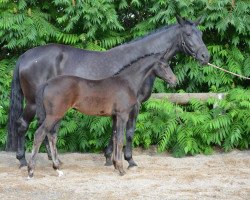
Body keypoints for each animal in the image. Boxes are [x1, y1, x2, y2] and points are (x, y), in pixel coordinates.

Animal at [27, 54, 176, 178]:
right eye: (165, 65)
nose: (174, 80)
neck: (127, 82)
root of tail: (47, 83)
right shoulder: (122, 115)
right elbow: (120, 139)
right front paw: (121, 169)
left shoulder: (115, 117)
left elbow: (115, 138)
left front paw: (115, 165)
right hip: (54, 115)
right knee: (40, 134)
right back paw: (31, 171)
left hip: (56, 116)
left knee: (51, 136)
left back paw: (57, 169)